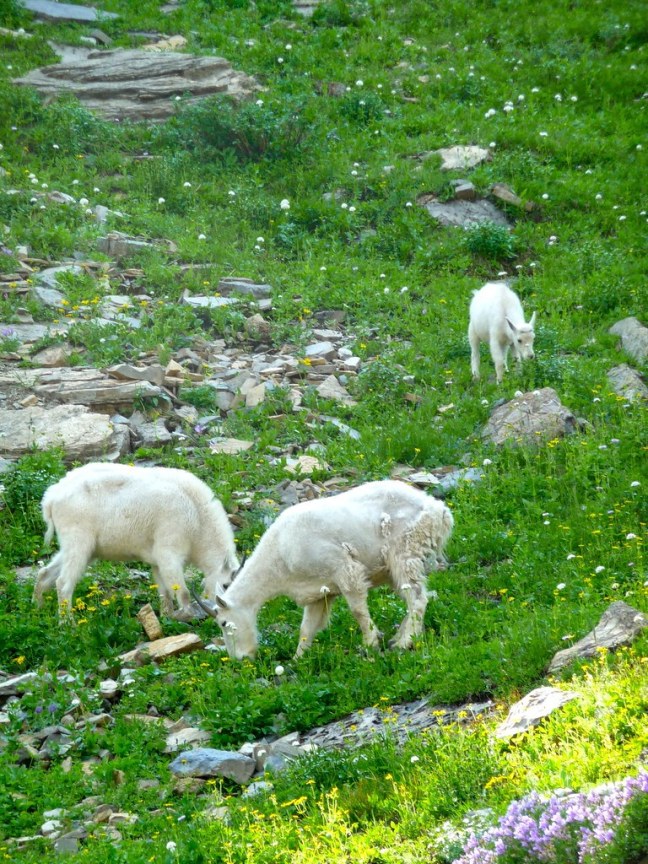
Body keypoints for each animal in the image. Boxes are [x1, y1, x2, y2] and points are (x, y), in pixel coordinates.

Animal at [33, 463, 239, 617]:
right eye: (226, 584)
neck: (198, 518)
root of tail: (50, 499)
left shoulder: (157, 559)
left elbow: (165, 592)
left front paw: (167, 617)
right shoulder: (169, 548)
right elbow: (183, 592)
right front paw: (188, 616)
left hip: (80, 546)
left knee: (45, 573)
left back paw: (37, 609)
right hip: (78, 538)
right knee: (63, 582)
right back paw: (68, 624)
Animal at [198, 480, 453, 659]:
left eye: (223, 623)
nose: (240, 658)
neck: (280, 553)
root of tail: (438, 510)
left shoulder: (343, 568)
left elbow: (357, 610)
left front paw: (370, 643)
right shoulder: (319, 592)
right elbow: (307, 627)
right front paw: (298, 659)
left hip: (405, 550)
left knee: (417, 598)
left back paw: (404, 642)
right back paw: (399, 637)